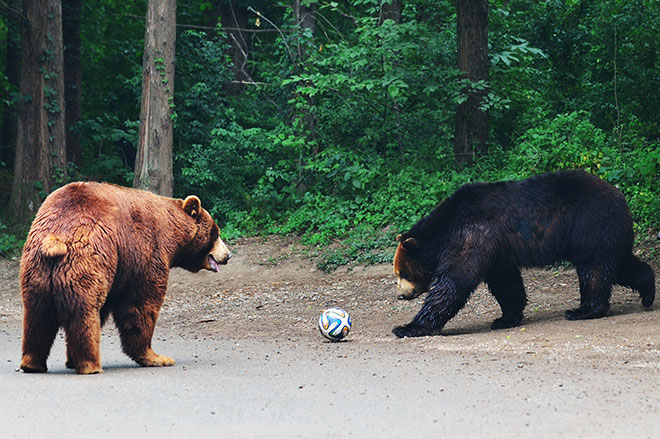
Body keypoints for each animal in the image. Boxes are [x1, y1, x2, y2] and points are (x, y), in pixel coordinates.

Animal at [19, 182, 232, 374]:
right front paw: (156, 357)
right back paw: (91, 365)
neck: (172, 236)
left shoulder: (119, 271)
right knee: (84, 311)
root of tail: (55, 238)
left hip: (37, 270)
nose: (228, 255)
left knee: (38, 316)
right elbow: (140, 305)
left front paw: (70, 360)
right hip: (88, 258)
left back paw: (32, 363)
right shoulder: (146, 251)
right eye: (216, 233)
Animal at [392, 170, 656, 338]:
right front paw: (505, 318)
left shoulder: (473, 236)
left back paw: (582, 310)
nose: (401, 295)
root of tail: (619, 195)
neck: (444, 232)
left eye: (403, 272)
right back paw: (648, 293)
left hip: (590, 225)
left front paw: (406, 327)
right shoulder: (497, 251)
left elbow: (454, 282)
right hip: (604, 233)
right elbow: (506, 283)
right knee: (620, 264)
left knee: (594, 268)